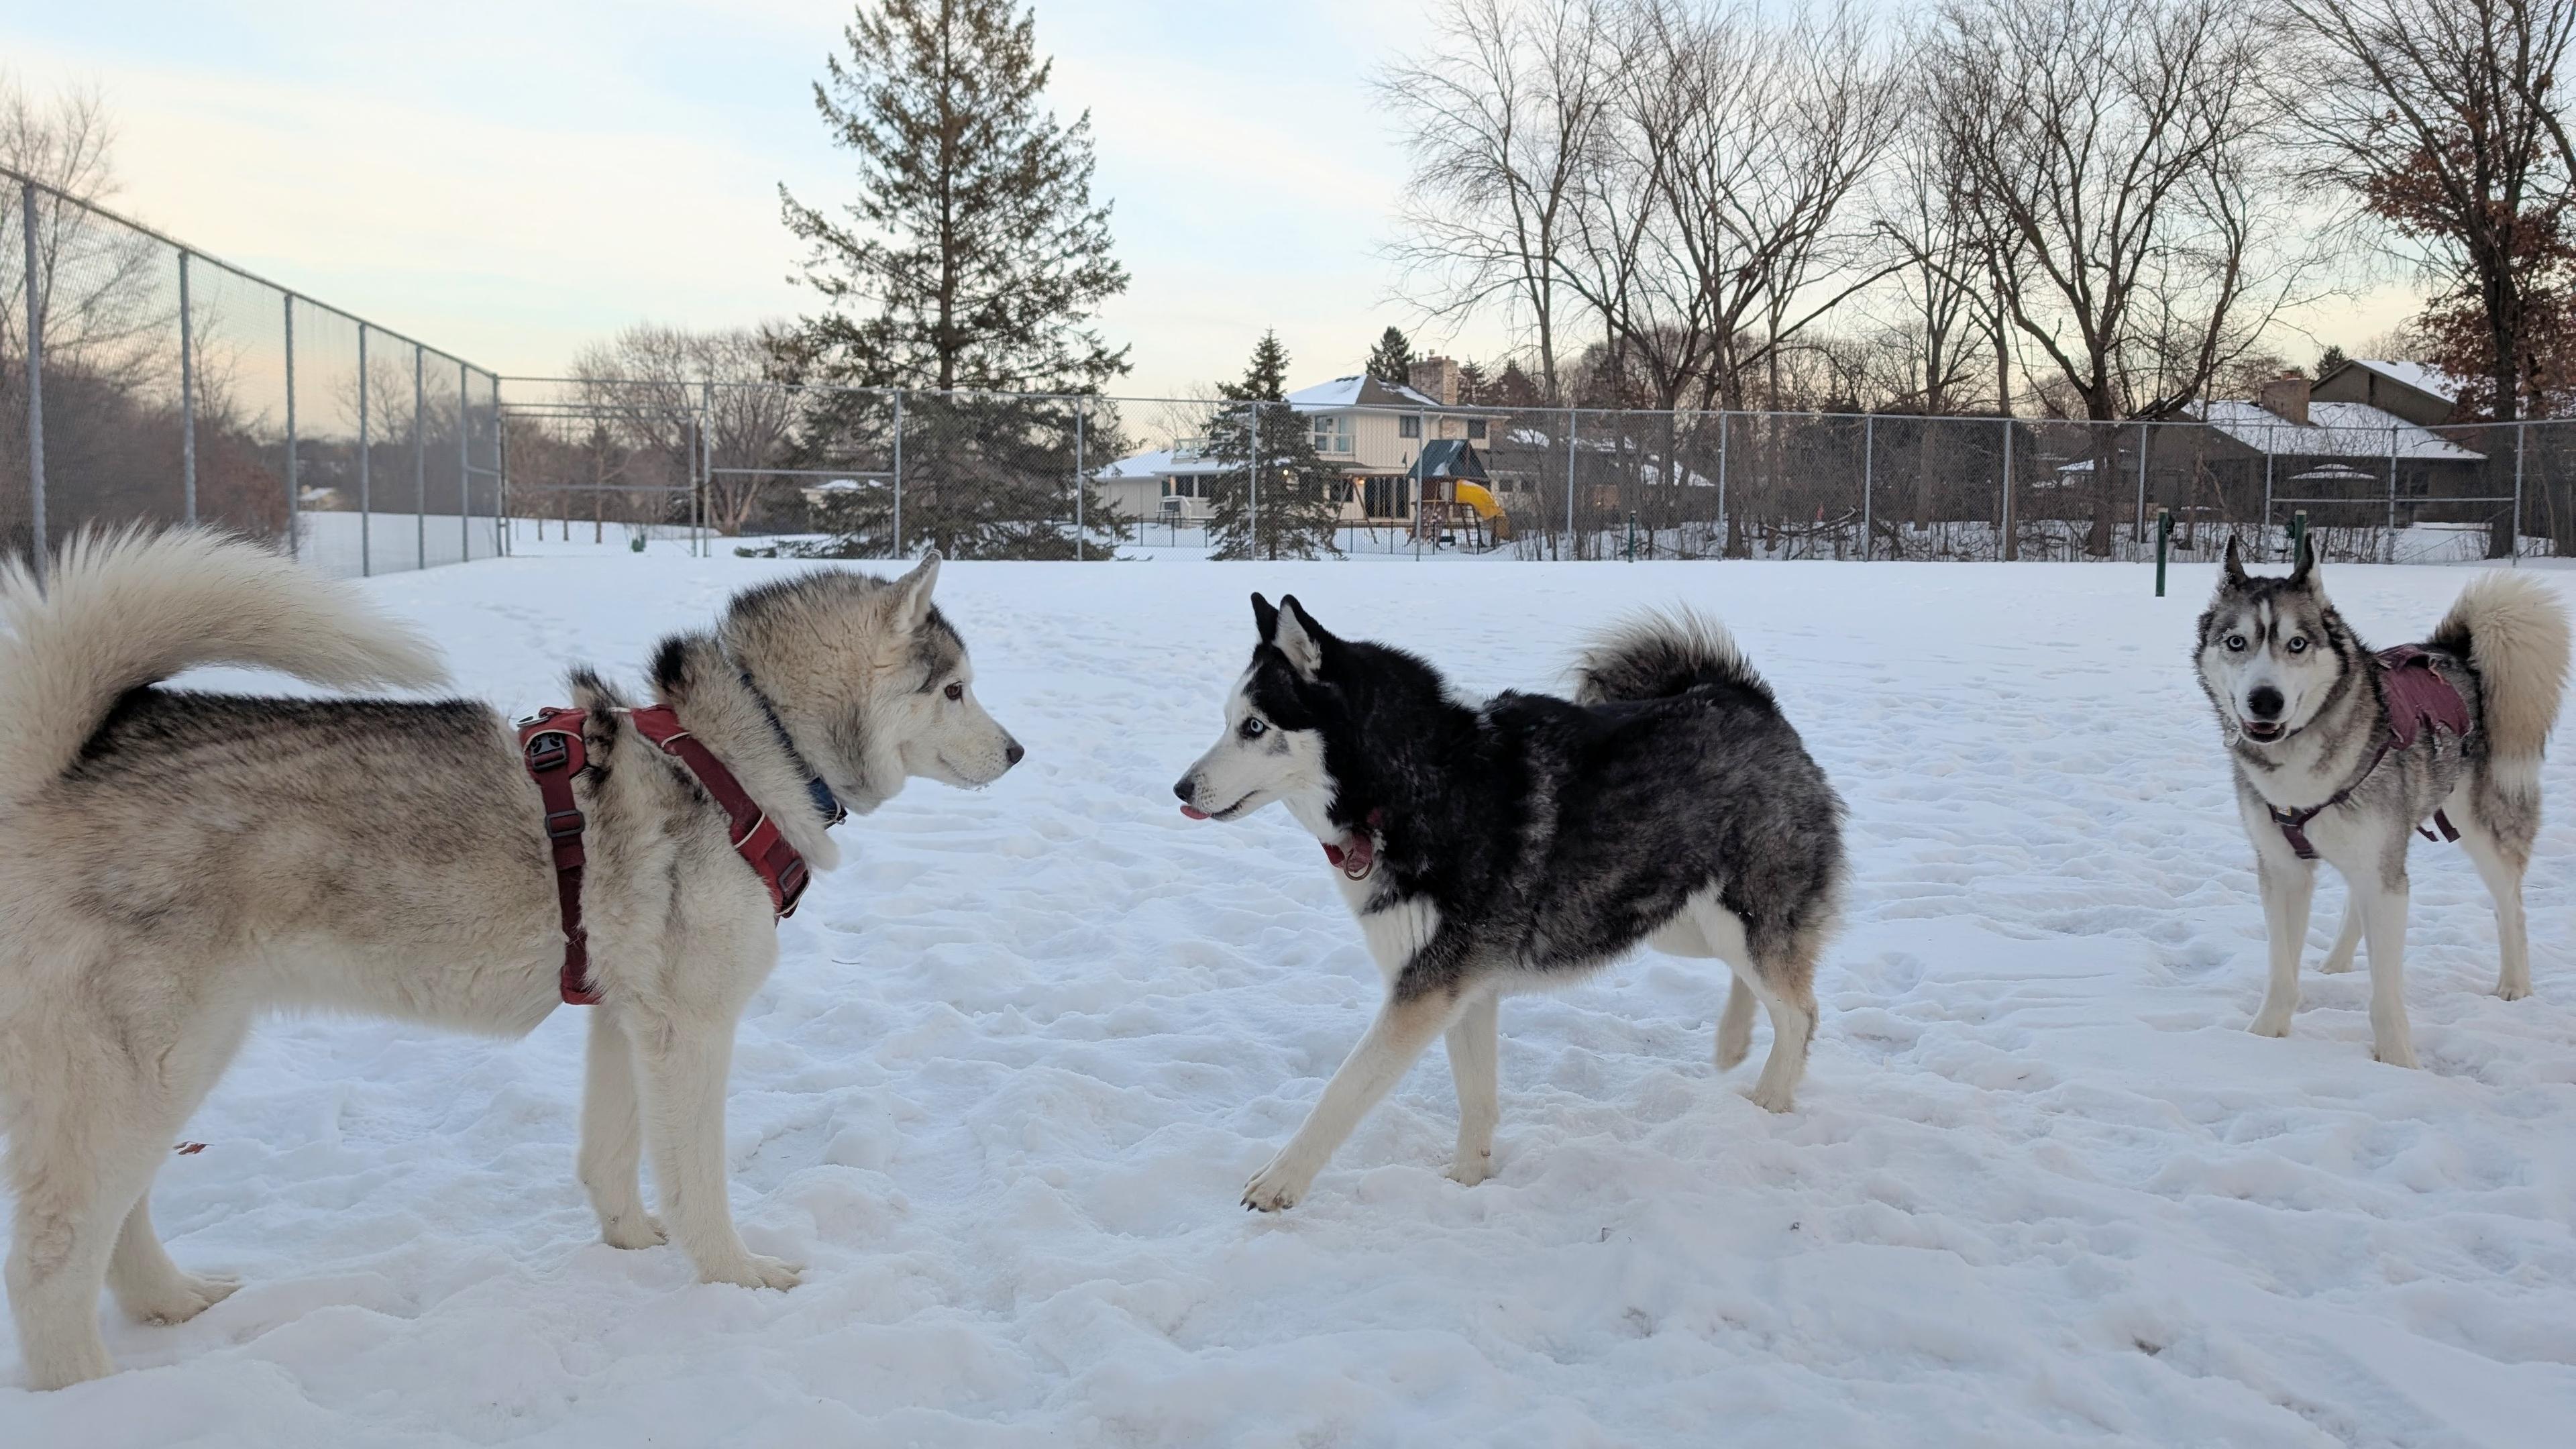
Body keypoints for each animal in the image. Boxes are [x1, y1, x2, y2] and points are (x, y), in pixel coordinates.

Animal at [0, 530, 1021, 1389]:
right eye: (955, 691)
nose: (1017, 752)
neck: (749, 746)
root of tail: (55, 763)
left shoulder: (625, 1013)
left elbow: (610, 1157)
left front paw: (630, 1246)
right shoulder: (690, 1026)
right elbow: (699, 1183)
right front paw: (735, 1278)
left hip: (173, 1064)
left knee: (119, 1216)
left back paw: (172, 1303)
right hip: (149, 1065)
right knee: (54, 1249)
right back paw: (88, 1390)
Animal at [1175, 595, 1845, 1211]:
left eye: (1255, 727)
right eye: (1229, 720)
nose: (1180, 788)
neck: (1408, 786)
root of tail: (1746, 697)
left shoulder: (1427, 988)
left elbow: (1342, 1091)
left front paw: (1279, 1182)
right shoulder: (1463, 990)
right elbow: (1476, 1098)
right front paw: (1466, 1182)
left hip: (1739, 913)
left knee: (1799, 1010)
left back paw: (1771, 1101)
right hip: (1673, 920)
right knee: (1759, 982)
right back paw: (1733, 1043)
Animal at [2196, 538, 2568, 1066]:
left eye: (2297, 643)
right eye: (2235, 642)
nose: (2264, 701)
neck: (2300, 769)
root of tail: (2457, 651)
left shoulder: (2387, 880)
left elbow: (2386, 991)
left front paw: (2397, 1061)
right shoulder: (2282, 867)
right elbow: (2281, 969)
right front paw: (2265, 1036)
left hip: (2480, 828)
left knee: (2510, 906)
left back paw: (2515, 984)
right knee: (2358, 898)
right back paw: (2334, 963)